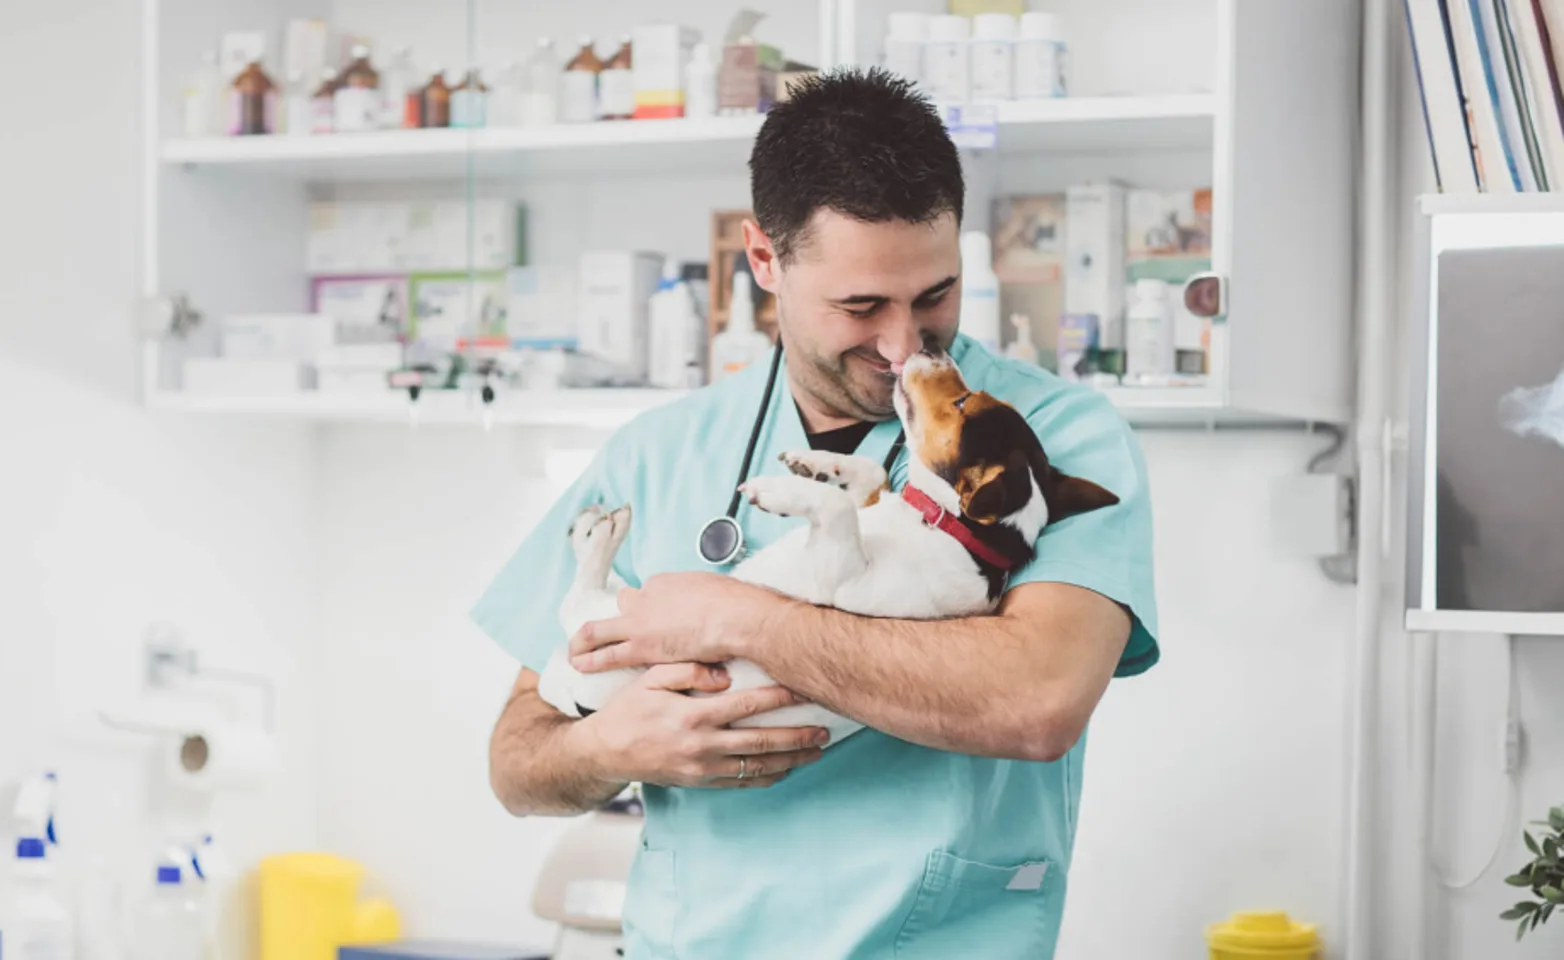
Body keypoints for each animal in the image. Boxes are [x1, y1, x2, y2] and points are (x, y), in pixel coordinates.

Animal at [541, 350, 1126, 747]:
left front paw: (778, 490)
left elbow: (838, 508)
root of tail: (567, 695)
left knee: (577, 599)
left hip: (607, 633)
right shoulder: (871, 506)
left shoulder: (844, 577)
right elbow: (866, 477)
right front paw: (817, 463)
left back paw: (602, 530)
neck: (944, 527)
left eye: (962, 403)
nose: (932, 346)